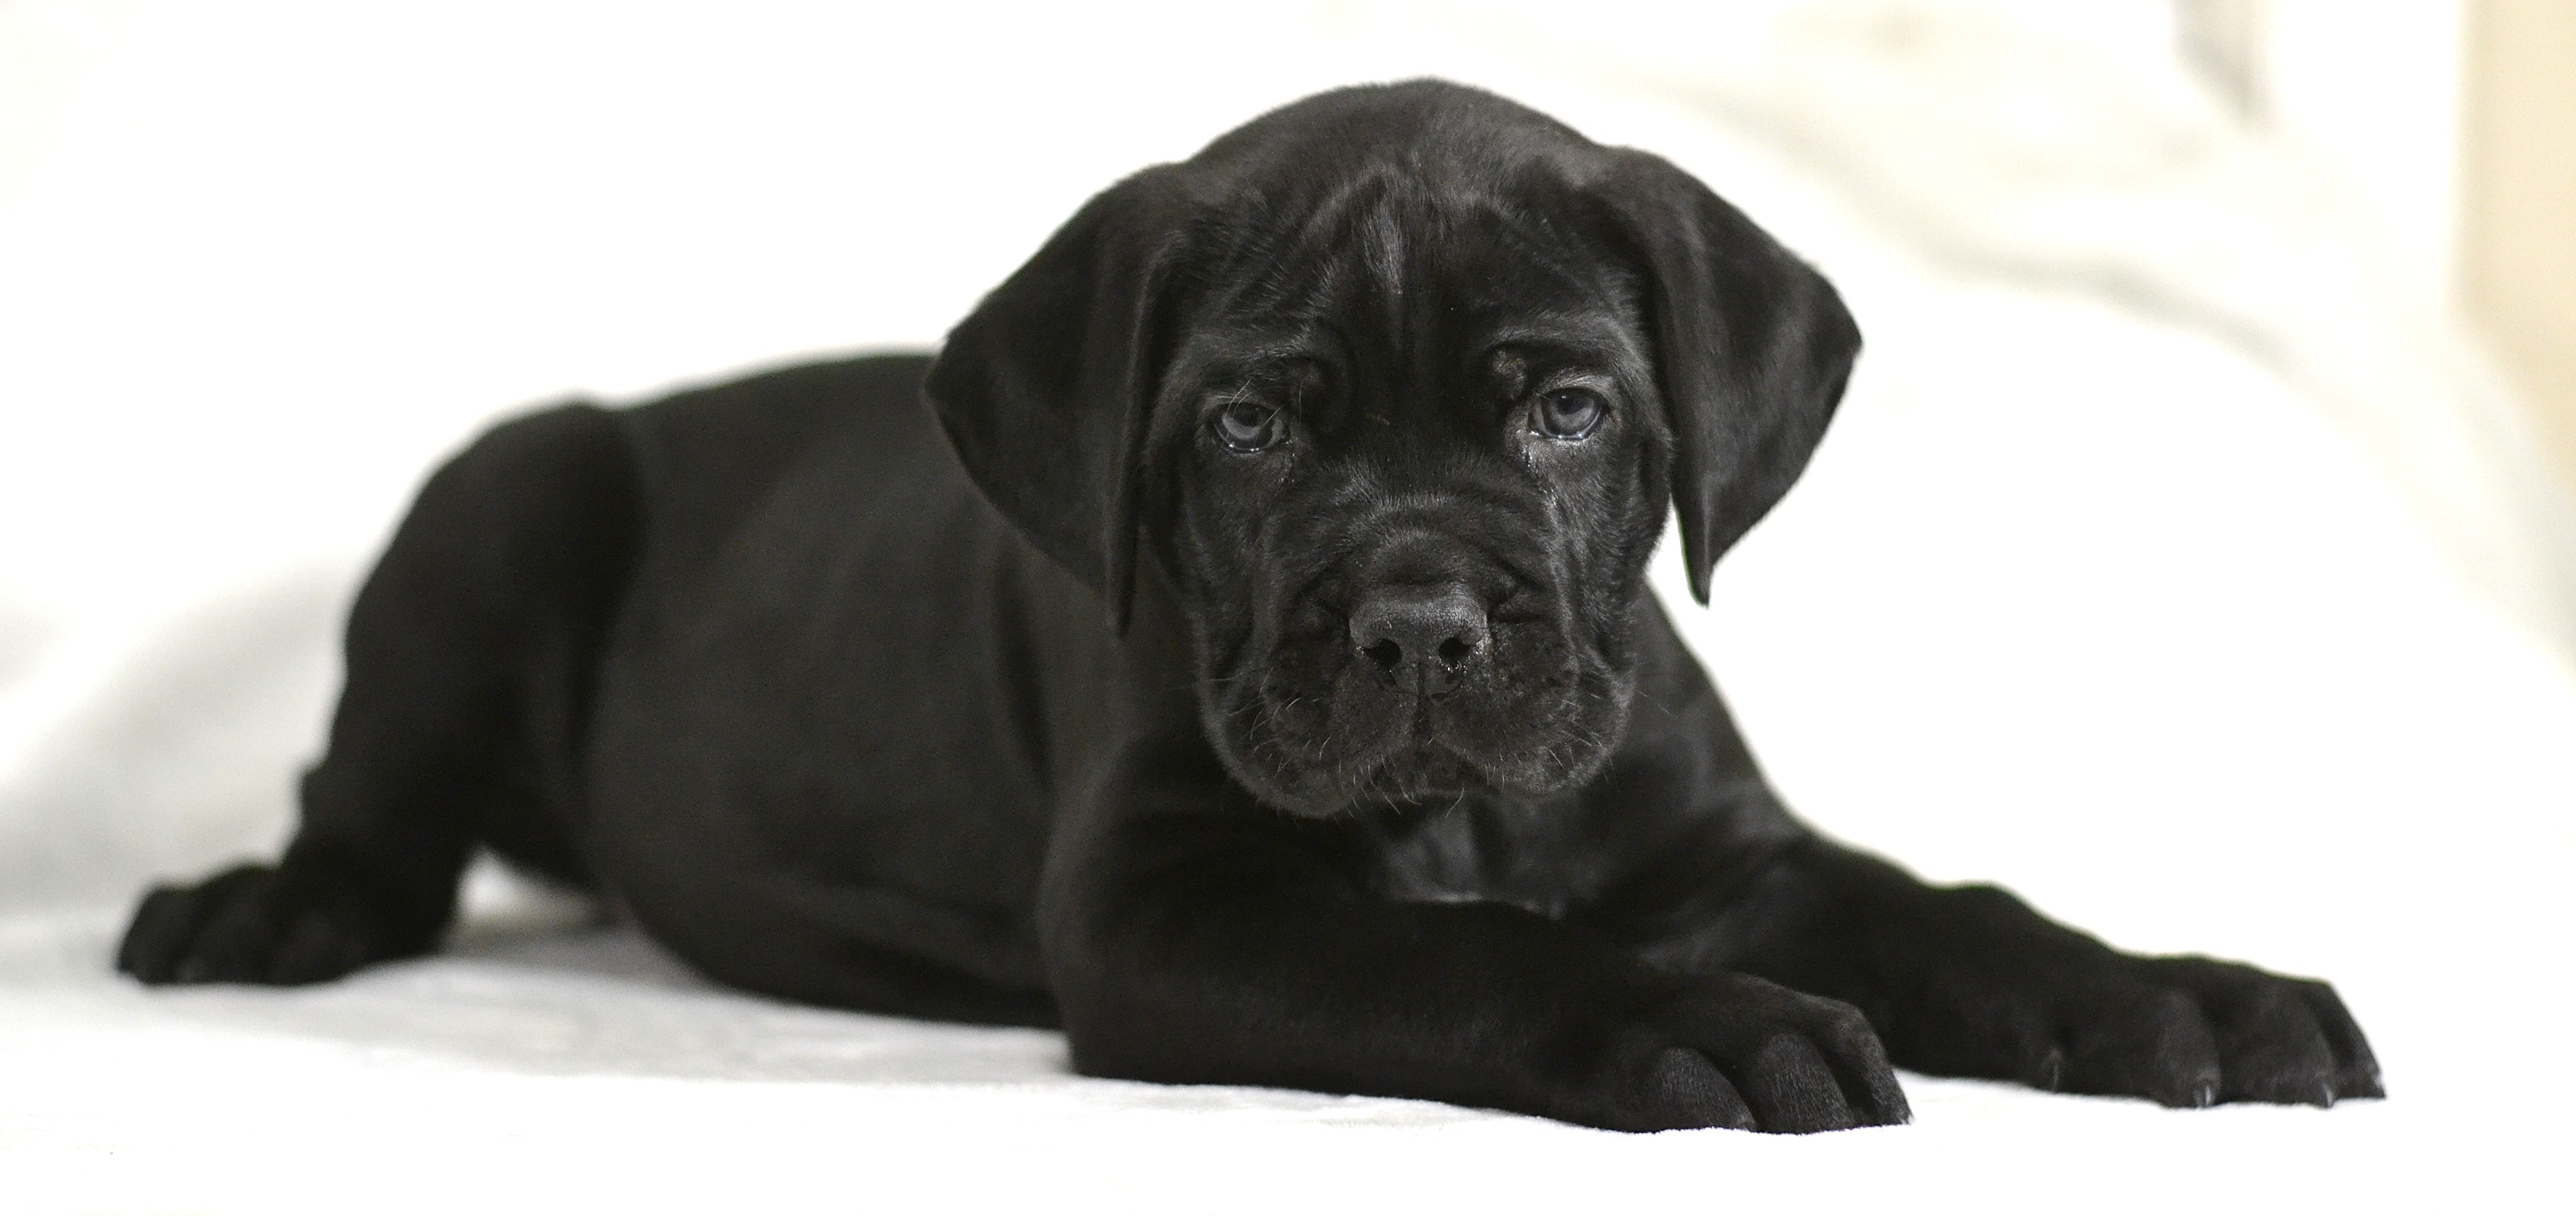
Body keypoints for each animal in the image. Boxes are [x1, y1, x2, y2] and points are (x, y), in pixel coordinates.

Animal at [116, 80, 2379, 1133]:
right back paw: (261, 905)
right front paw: (1699, 1026)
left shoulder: (1731, 859)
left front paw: (2180, 991)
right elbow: (1457, 953)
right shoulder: (1167, 908)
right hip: (502, 497)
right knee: (368, 813)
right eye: (1249, 429)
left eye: (1565, 411)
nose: (1420, 624)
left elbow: (1957, 911)